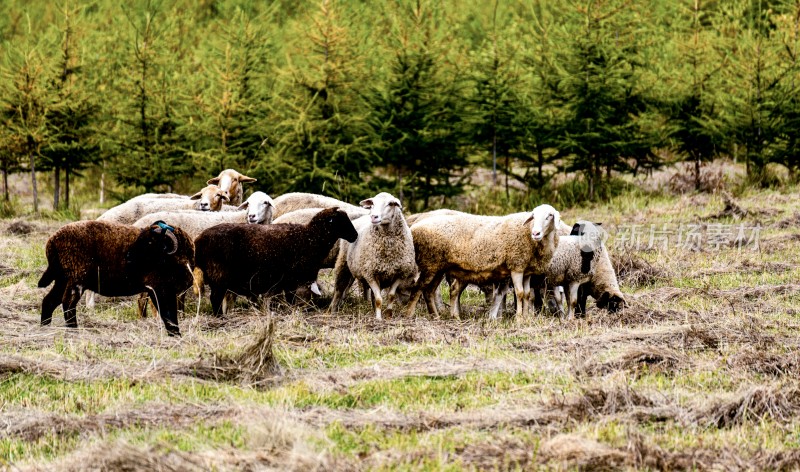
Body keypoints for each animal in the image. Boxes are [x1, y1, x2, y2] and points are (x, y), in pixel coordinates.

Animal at [39, 220, 197, 336]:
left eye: (150, 242)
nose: (128, 257)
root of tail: (52, 241)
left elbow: (169, 314)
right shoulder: (160, 288)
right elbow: (168, 315)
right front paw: (176, 335)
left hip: (62, 279)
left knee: (49, 301)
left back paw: (44, 328)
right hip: (76, 278)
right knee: (68, 304)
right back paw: (73, 331)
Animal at [194, 207, 356, 316]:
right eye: (341, 221)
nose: (355, 235)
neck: (311, 237)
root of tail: (199, 240)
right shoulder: (292, 279)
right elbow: (290, 298)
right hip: (219, 275)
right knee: (215, 298)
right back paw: (219, 317)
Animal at [410, 204, 560, 318]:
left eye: (549, 215)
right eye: (533, 216)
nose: (536, 233)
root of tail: (414, 227)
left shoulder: (526, 270)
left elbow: (528, 294)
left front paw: (526, 318)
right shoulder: (516, 266)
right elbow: (520, 293)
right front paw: (519, 319)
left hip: (437, 267)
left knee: (429, 291)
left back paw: (437, 317)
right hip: (429, 264)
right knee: (418, 288)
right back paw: (409, 315)